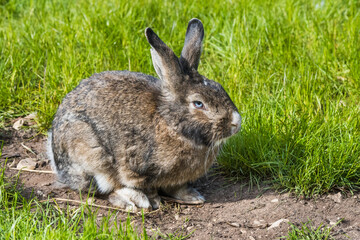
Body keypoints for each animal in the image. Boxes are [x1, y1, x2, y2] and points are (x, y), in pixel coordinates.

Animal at [46, 18, 240, 210]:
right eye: (198, 103)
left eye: (219, 87)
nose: (236, 123)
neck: (171, 124)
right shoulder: (136, 170)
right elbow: (145, 187)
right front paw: (153, 201)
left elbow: (176, 187)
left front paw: (192, 196)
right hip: (91, 153)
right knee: (102, 187)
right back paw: (133, 200)